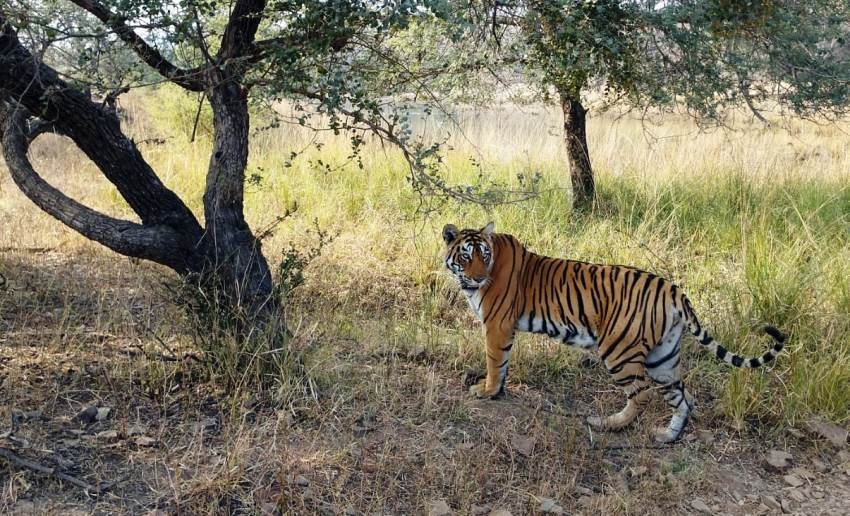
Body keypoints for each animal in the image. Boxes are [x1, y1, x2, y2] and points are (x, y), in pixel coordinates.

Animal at [442, 222, 785, 443]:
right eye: (466, 255)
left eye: (484, 255)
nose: (479, 277)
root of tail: (674, 291)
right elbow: (503, 364)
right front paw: (497, 390)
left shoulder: (497, 325)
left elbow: (494, 361)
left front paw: (486, 391)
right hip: (663, 358)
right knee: (682, 398)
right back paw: (666, 436)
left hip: (619, 351)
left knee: (643, 394)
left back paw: (608, 424)